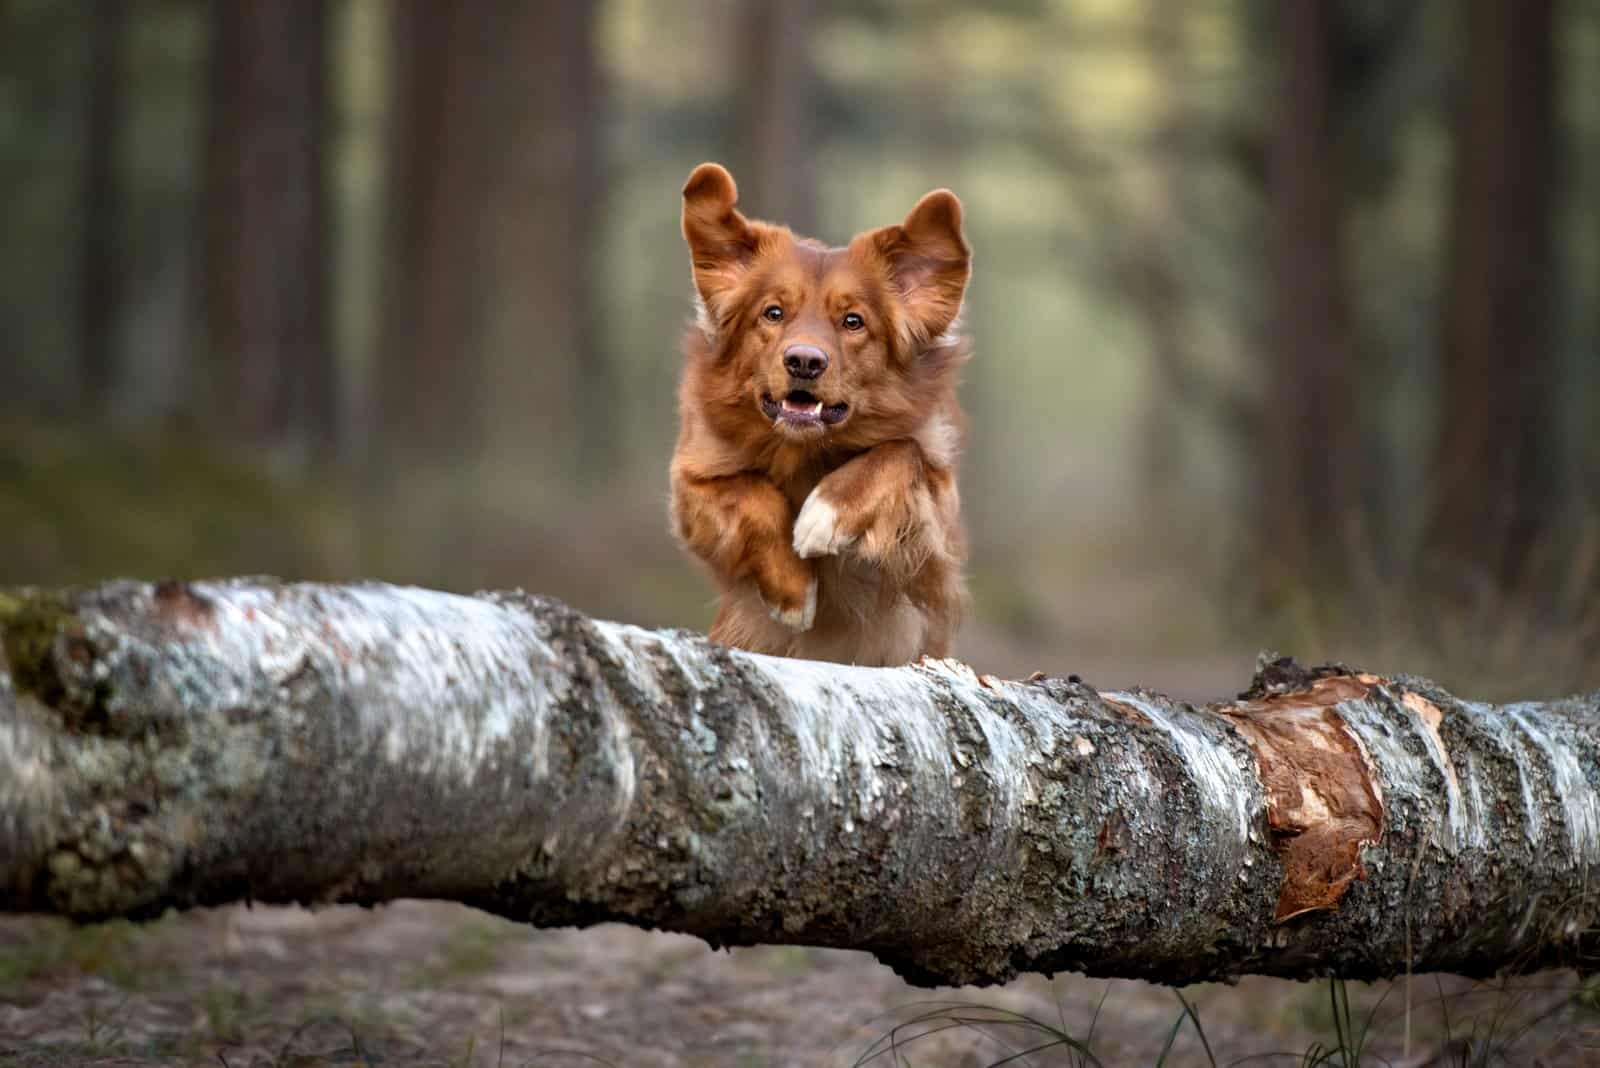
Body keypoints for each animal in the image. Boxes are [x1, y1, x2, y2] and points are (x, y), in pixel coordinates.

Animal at [665, 161, 966, 661]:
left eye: (853, 321)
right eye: (772, 313)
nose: (804, 361)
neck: (805, 450)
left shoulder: (933, 535)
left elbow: (900, 452)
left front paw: (826, 512)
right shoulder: (693, 482)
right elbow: (754, 495)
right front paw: (795, 592)